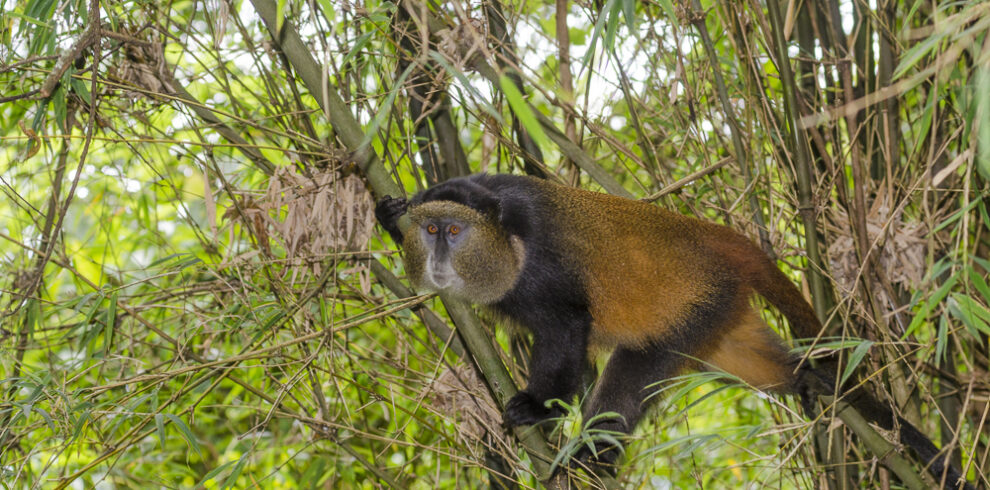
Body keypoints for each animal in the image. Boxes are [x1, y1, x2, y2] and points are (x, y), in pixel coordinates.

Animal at [375, 173, 974, 489]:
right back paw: (813, 381)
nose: (438, 254)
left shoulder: (544, 270)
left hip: (697, 308)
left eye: (454, 232)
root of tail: (718, 238)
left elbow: (569, 337)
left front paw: (537, 407)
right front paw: (389, 215)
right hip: (722, 318)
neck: (504, 238)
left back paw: (591, 460)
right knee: (766, 366)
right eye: (430, 230)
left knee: (630, 376)